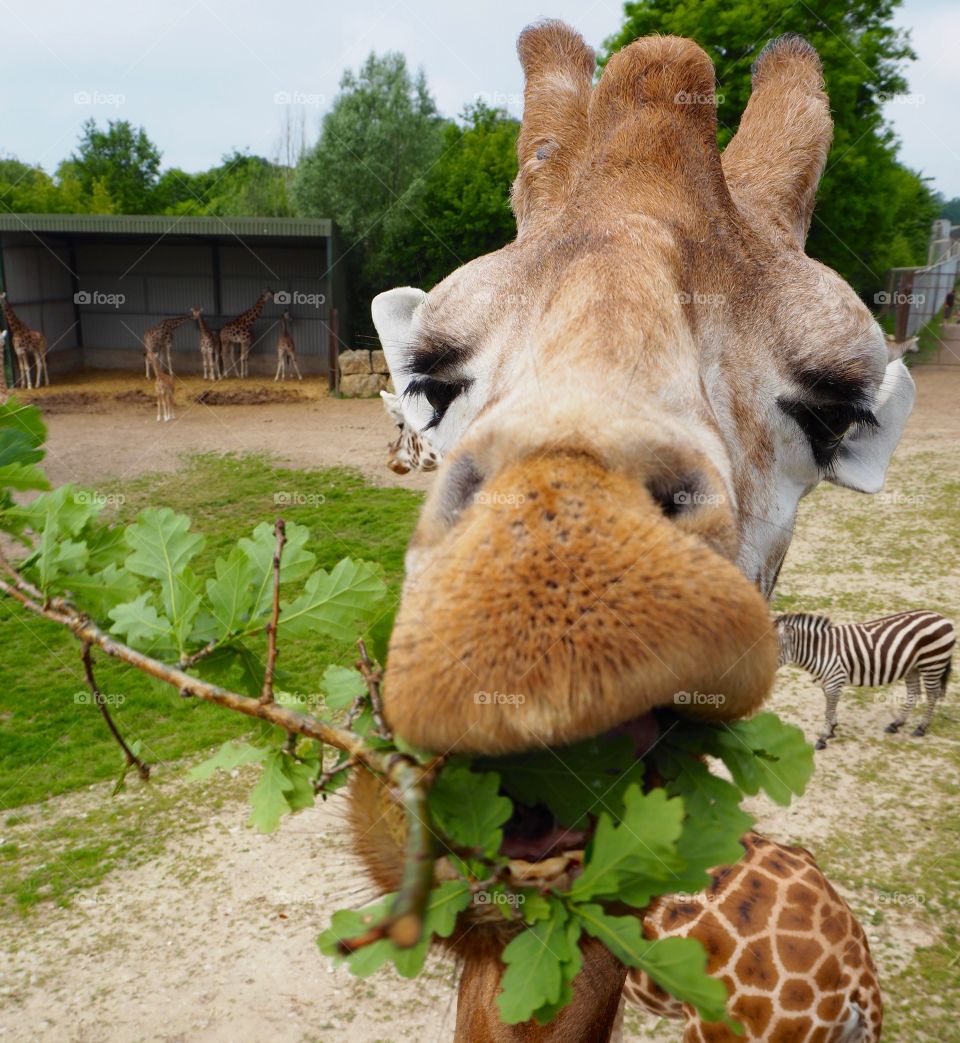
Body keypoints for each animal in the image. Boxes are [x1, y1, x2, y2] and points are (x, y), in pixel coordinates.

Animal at [776, 609, 955, 750]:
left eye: (776, 648)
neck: (820, 650)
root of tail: (943, 618)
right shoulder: (826, 682)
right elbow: (830, 708)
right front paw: (832, 728)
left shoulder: (834, 680)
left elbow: (828, 709)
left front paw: (823, 737)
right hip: (913, 667)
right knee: (913, 692)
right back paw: (896, 723)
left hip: (932, 663)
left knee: (932, 695)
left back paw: (921, 727)